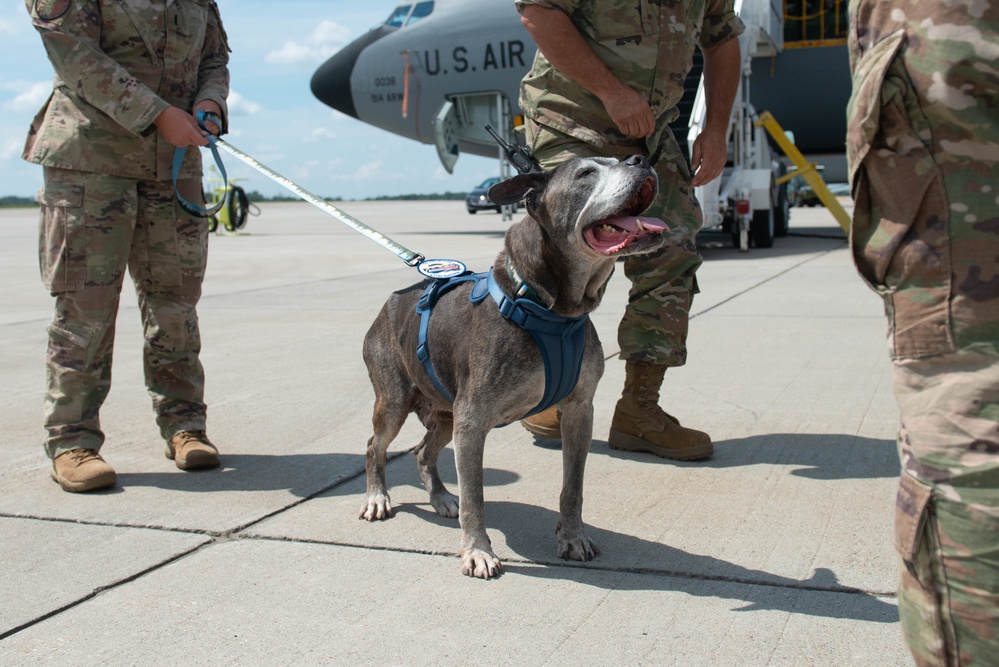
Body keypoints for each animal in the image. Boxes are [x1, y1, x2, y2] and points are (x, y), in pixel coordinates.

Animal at [362, 155, 672, 580]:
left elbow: (573, 487)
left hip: (444, 415)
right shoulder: (472, 421)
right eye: (586, 173)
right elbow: (475, 495)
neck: (549, 309)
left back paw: (441, 498)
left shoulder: (579, 410)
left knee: (423, 452)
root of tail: (390, 302)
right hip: (395, 403)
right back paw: (378, 497)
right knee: (374, 446)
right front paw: (477, 550)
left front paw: (572, 536)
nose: (641, 159)